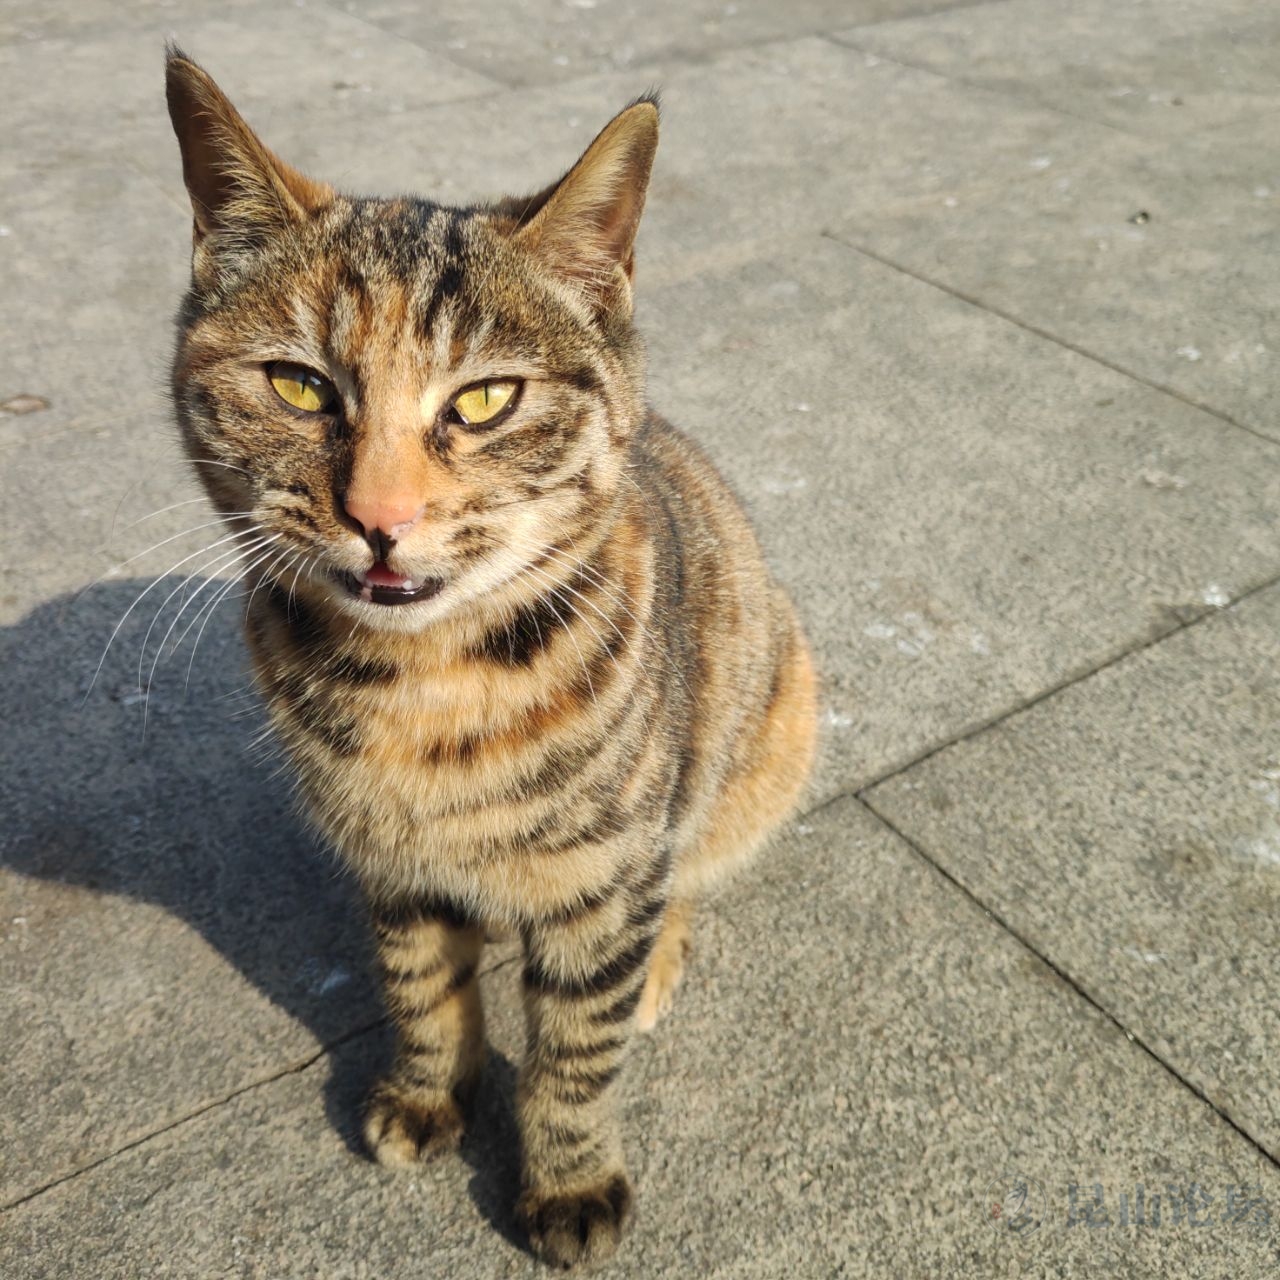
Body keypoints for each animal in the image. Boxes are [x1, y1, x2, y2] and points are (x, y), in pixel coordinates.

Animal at [165, 46, 817, 1269]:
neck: (424, 686)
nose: (378, 518)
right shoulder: (392, 861)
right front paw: (429, 1094)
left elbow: (574, 1051)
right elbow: (422, 984)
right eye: (298, 385)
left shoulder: (606, 874)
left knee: (690, 867)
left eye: (483, 398)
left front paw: (567, 1177)